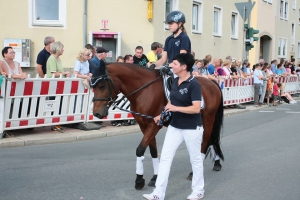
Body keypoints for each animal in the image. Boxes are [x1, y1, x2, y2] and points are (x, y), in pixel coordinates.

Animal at [91, 63, 223, 190]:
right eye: (92, 87)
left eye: (101, 86)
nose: (96, 113)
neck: (144, 90)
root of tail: (211, 82)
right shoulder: (143, 125)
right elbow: (153, 150)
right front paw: (155, 177)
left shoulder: (154, 124)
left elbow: (140, 149)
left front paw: (139, 180)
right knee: (211, 140)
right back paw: (216, 164)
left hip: (208, 119)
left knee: (204, 143)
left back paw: (194, 173)